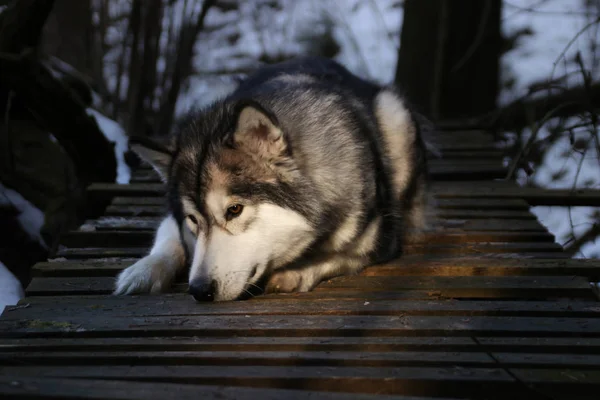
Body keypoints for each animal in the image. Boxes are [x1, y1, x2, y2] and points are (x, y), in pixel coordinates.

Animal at [113, 55, 432, 300]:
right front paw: (143, 270)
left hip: (394, 113)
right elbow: (168, 237)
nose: (199, 291)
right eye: (192, 219)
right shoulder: (174, 219)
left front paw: (296, 272)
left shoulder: (382, 238)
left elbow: (340, 256)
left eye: (234, 210)